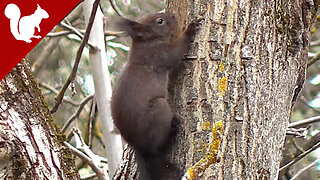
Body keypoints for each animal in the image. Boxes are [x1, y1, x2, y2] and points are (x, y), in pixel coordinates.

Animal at [111, 13, 201, 180]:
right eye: (160, 21)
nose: (172, 16)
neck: (145, 42)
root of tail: (142, 149)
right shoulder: (158, 54)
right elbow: (174, 54)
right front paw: (190, 29)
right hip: (159, 109)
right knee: (159, 144)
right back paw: (173, 129)